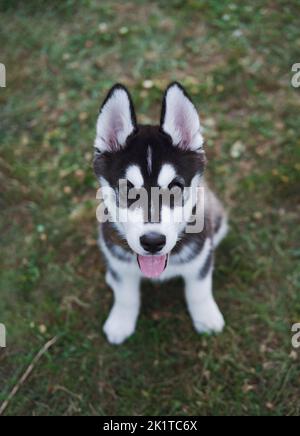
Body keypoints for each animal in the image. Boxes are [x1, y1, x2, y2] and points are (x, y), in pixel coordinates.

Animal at [94, 82, 227, 342]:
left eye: (175, 187)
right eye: (128, 189)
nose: (153, 241)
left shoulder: (199, 256)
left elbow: (199, 288)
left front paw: (205, 317)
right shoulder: (118, 259)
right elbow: (125, 295)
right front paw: (120, 321)